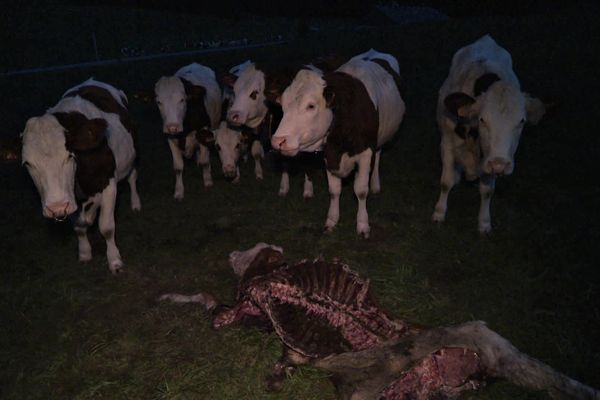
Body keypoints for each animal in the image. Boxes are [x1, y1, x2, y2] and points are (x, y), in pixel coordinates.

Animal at [21, 78, 141, 274]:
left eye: (69, 156)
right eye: (28, 163)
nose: (55, 207)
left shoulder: (108, 184)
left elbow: (106, 227)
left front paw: (114, 261)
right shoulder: (70, 200)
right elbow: (78, 227)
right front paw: (84, 254)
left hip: (132, 158)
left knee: (132, 177)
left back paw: (136, 204)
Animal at [154, 62, 221, 200]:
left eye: (182, 99)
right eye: (159, 102)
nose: (172, 126)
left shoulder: (204, 130)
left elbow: (205, 161)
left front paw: (208, 181)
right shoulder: (170, 138)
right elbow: (178, 167)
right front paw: (179, 191)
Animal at [270, 49, 404, 238]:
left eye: (311, 106)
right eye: (283, 106)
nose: (278, 141)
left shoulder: (365, 152)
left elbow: (361, 190)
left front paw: (363, 225)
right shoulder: (329, 155)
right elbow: (334, 191)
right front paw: (331, 221)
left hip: (380, 138)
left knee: (378, 155)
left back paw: (375, 184)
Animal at [428, 36, 548, 234]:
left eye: (521, 121)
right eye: (482, 119)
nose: (500, 164)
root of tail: (487, 39)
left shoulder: (490, 157)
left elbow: (487, 191)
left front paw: (484, 223)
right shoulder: (447, 143)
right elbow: (446, 181)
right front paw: (439, 213)